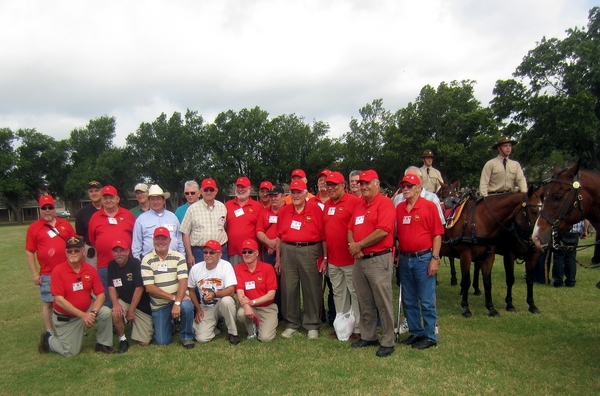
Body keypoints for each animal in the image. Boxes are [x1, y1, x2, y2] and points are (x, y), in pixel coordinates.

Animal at [440, 189, 544, 318]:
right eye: (534, 210)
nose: (538, 237)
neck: (482, 219)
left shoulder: (489, 256)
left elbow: (488, 282)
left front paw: (491, 308)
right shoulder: (466, 255)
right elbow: (466, 282)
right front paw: (466, 308)